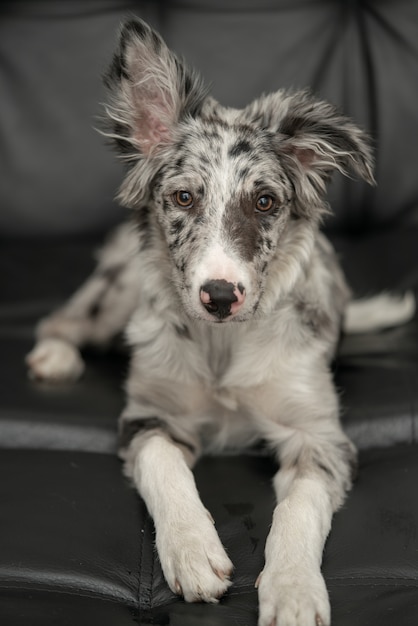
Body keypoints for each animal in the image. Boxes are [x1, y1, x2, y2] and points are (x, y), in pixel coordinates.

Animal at [25, 18, 414, 624]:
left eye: (265, 202)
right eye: (183, 197)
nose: (219, 296)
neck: (223, 342)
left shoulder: (320, 437)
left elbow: (299, 509)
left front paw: (294, 589)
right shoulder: (148, 416)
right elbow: (164, 465)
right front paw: (192, 550)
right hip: (118, 288)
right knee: (68, 319)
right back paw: (55, 355)